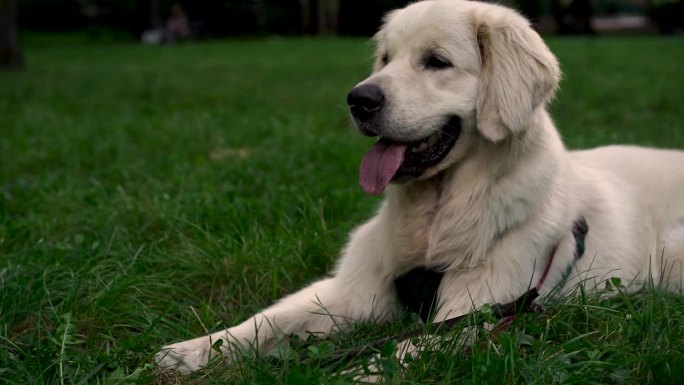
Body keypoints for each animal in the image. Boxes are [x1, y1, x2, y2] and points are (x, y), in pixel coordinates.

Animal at [158, 0, 684, 372]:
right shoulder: (352, 292)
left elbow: (394, 357)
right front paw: (193, 350)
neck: (436, 213)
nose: (358, 99)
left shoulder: (476, 312)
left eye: (436, 62)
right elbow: (269, 320)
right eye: (385, 58)